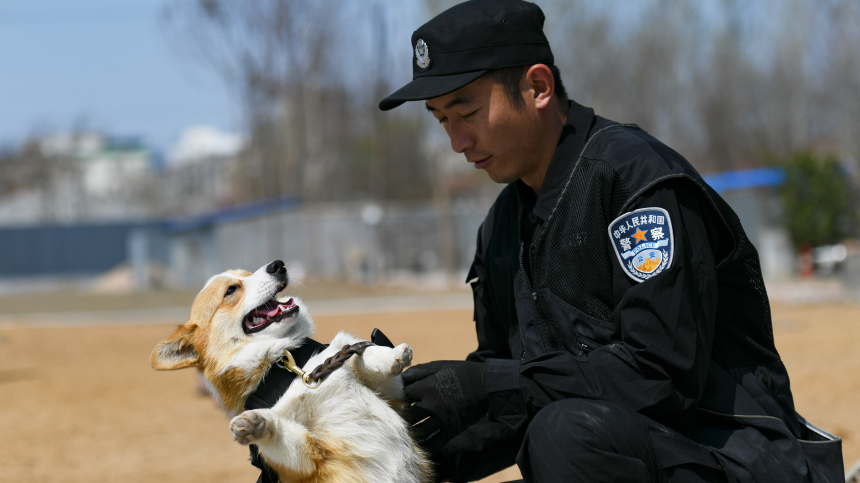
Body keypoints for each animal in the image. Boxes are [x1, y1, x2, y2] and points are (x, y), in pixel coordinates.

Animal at [152, 262, 434, 482]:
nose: (278, 265)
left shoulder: (393, 397)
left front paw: (392, 355)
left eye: (248, 273)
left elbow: (358, 354)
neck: (291, 366)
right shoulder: (308, 461)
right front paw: (255, 425)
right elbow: (284, 441)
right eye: (231, 290)